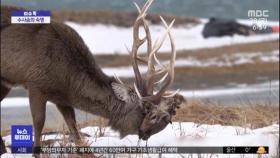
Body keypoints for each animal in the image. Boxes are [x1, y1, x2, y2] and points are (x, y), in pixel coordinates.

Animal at [1, 0, 185, 156]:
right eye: (149, 112)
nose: (146, 133)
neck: (67, 81)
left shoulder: (62, 99)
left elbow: (76, 134)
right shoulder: (36, 85)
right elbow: (39, 125)